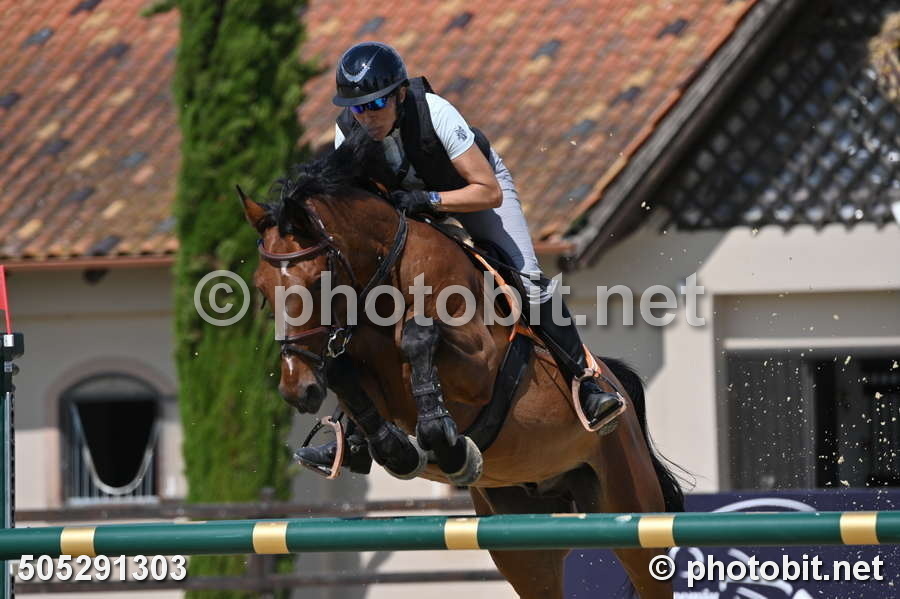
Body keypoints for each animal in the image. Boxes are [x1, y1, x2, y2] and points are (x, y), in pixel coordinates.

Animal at [240, 132, 685, 599]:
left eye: (315, 282)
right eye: (261, 287)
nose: (297, 389)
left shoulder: (482, 366)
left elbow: (418, 336)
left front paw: (446, 442)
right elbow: (348, 379)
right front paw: (395, 449)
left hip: (630, 506)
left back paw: (598, 401)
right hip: (526, 543)